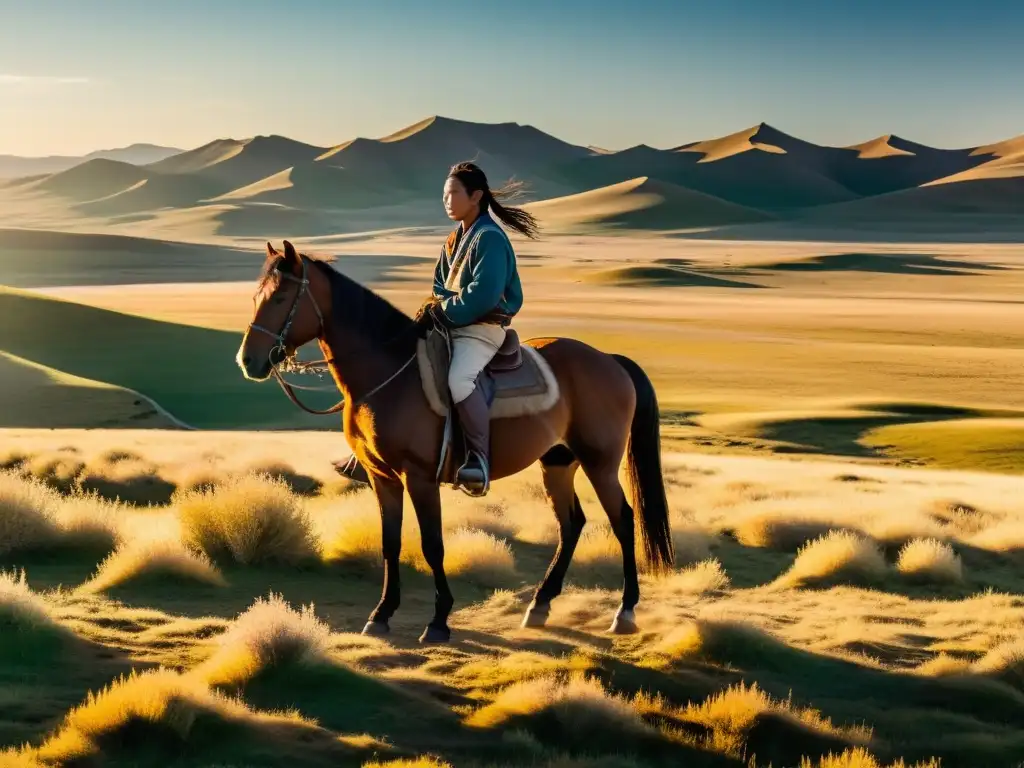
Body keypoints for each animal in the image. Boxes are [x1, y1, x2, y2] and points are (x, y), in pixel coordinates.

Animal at [235, 240, 675, 643]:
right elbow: (390, 543)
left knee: (623, 520)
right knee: (571, 524)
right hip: (558, 461)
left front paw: (438, 621)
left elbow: (432, 545)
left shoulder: (419, 477)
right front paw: (381, 615)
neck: (388, 371)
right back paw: (540, 605)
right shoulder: (382, 476)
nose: (248, 361)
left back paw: (625, 611)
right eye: (256, 297)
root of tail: (610, 360)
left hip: (600, 462)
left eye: (280, 298)